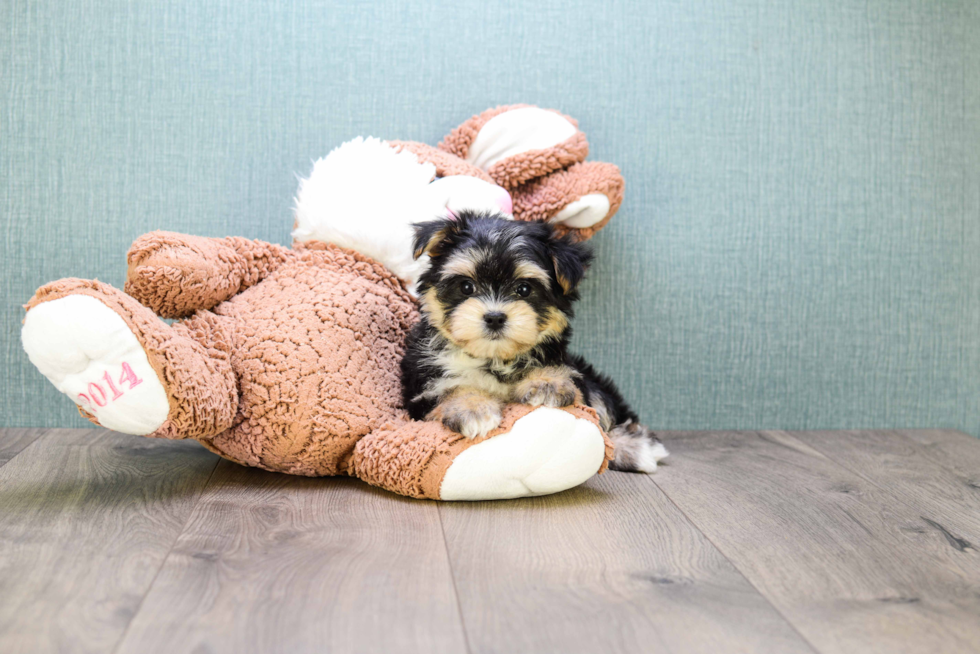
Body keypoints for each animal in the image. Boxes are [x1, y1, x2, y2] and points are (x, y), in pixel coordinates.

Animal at [398, 213, 668, 474]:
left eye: (524, 289)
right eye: (466, 287)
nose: (494, 317)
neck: (495, 358)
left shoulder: (568, 367)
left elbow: (579, 394)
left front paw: (547, 383)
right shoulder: (422, 386)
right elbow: (450, 387)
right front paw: (473, 409)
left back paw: (636, 448)